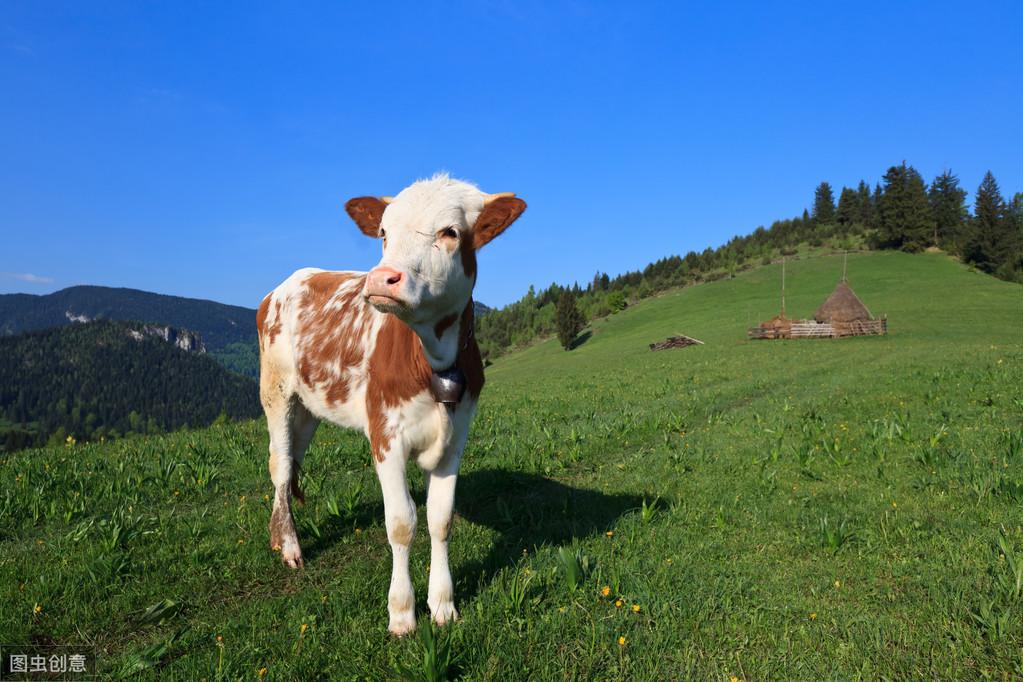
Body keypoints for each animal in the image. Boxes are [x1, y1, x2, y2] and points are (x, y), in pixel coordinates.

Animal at [255, 174, 527, 633]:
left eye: (450, 232)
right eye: (383, 233)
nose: (382, 279)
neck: (433, 356)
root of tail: (290, 280)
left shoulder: (456, 438)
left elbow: (440, 519)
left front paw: (443, 604)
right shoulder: (385, 436)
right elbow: (401, 524)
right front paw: (402, 612)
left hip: (310, 406)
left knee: (293, 460)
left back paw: (279, 535)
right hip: (275, 392)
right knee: (280, 464)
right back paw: (290, 545)